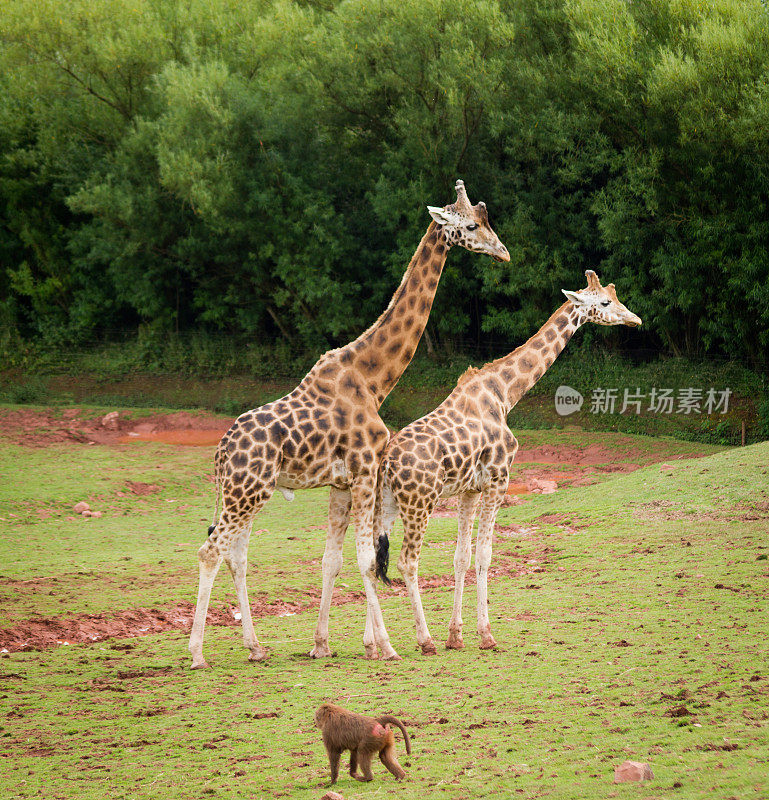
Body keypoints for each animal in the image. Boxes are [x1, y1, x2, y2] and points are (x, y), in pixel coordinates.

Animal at [187, 181, 510, 668]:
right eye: (472, 225)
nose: (503, 252)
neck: (372, 379)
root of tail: (220, 455)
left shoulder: (341, 483)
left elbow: (333, 560)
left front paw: (323, 644)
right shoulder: (363, 471)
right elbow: (365, 559)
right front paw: (388, 647)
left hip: (246, 493)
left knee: (235, 554)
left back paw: (256, 647)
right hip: (247, 492)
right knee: (211, 551)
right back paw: (197, 654)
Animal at [372, 272, 640, 652]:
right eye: (604, 302)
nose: (635, 320)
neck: (505, 393)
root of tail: (385, 465)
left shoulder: (469, 489)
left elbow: (461, 556)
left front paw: (456, 636)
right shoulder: (498, 480)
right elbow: (484, 555)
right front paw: (485, 635)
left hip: (386, 505)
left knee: (369, 561)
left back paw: (377, 647)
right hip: (419, 503)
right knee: (407, 562)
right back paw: (424, 641)